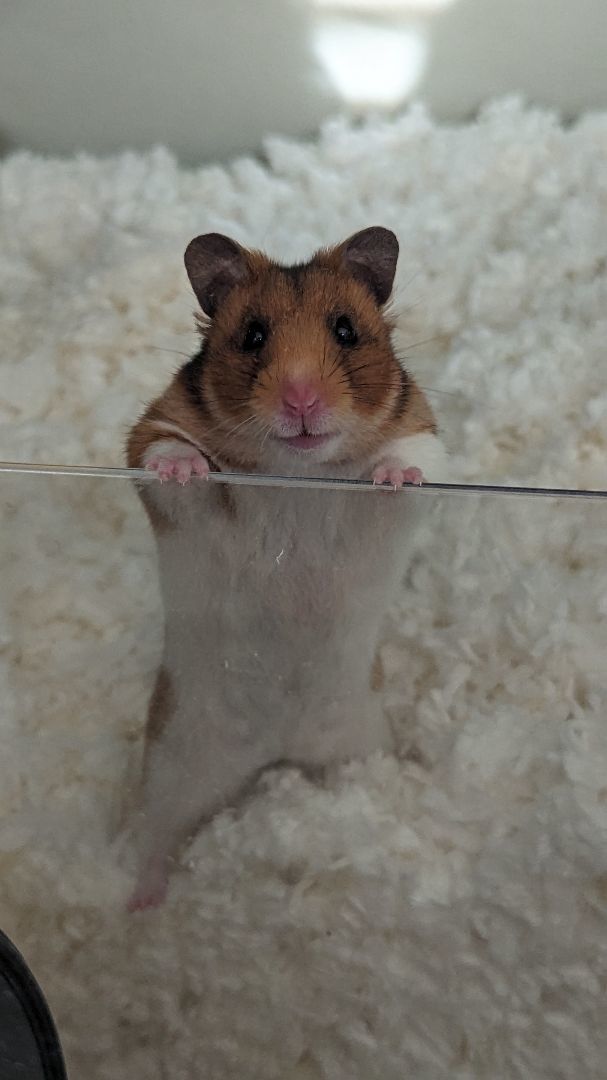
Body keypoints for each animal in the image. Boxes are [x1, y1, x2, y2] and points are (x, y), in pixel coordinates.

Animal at [125, 227, 447, 909]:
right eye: (253, 335)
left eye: (346, 330)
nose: (301, 400)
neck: (298, 469)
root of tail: (276, 749)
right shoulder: (153, 433)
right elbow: (165, 455)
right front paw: (186, 469)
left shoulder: (425, 437)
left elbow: (411, 464)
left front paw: (390, 476)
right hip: (173, 762)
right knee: (156, 835)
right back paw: (142, 905)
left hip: (356, 741)